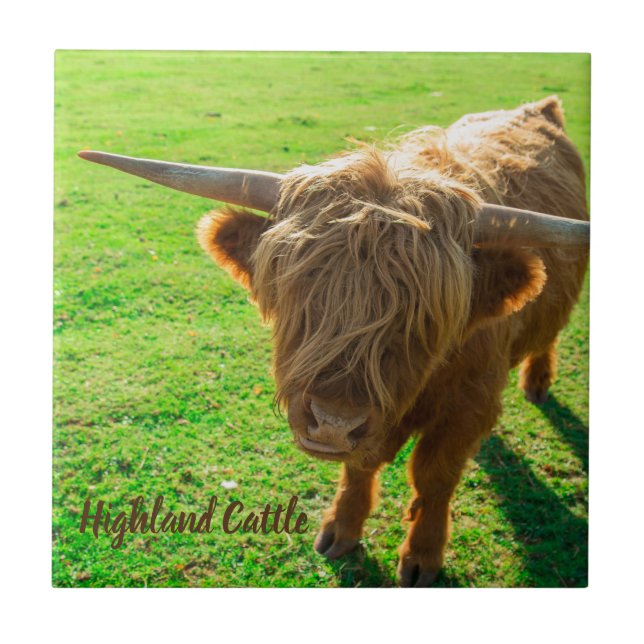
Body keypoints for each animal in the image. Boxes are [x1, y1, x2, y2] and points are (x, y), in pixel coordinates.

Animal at [79, 96, 589, 586]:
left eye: (423, 315)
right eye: (302, 289)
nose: (333, 423)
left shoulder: (471, 402)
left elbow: (434, 475)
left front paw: (422, 557)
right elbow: (360, 467)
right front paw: (339, 531)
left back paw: (537, 383)